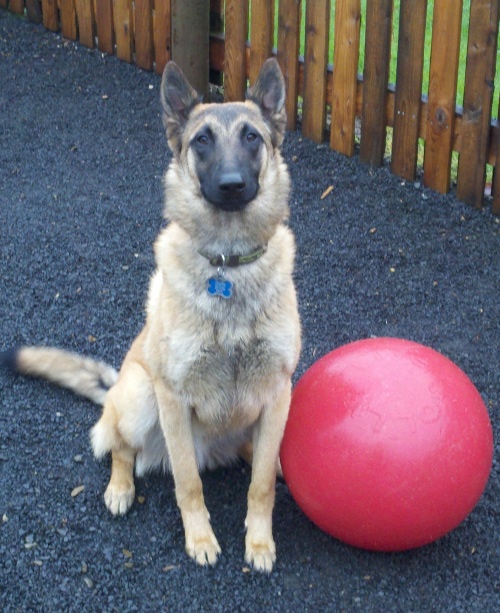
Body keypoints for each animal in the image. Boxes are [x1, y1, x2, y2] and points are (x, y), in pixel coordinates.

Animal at [1, 59, 300, 572]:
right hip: (142, 394)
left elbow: (259, 485)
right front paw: (200, 539)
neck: (228, 266)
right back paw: (120, 488)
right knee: (121, 448)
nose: (232, 185)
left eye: (252, 137)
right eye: (202, 140)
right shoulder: (172, 398)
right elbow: (188, 483)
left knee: (254, 454)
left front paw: (259, 543)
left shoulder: (278, 391)